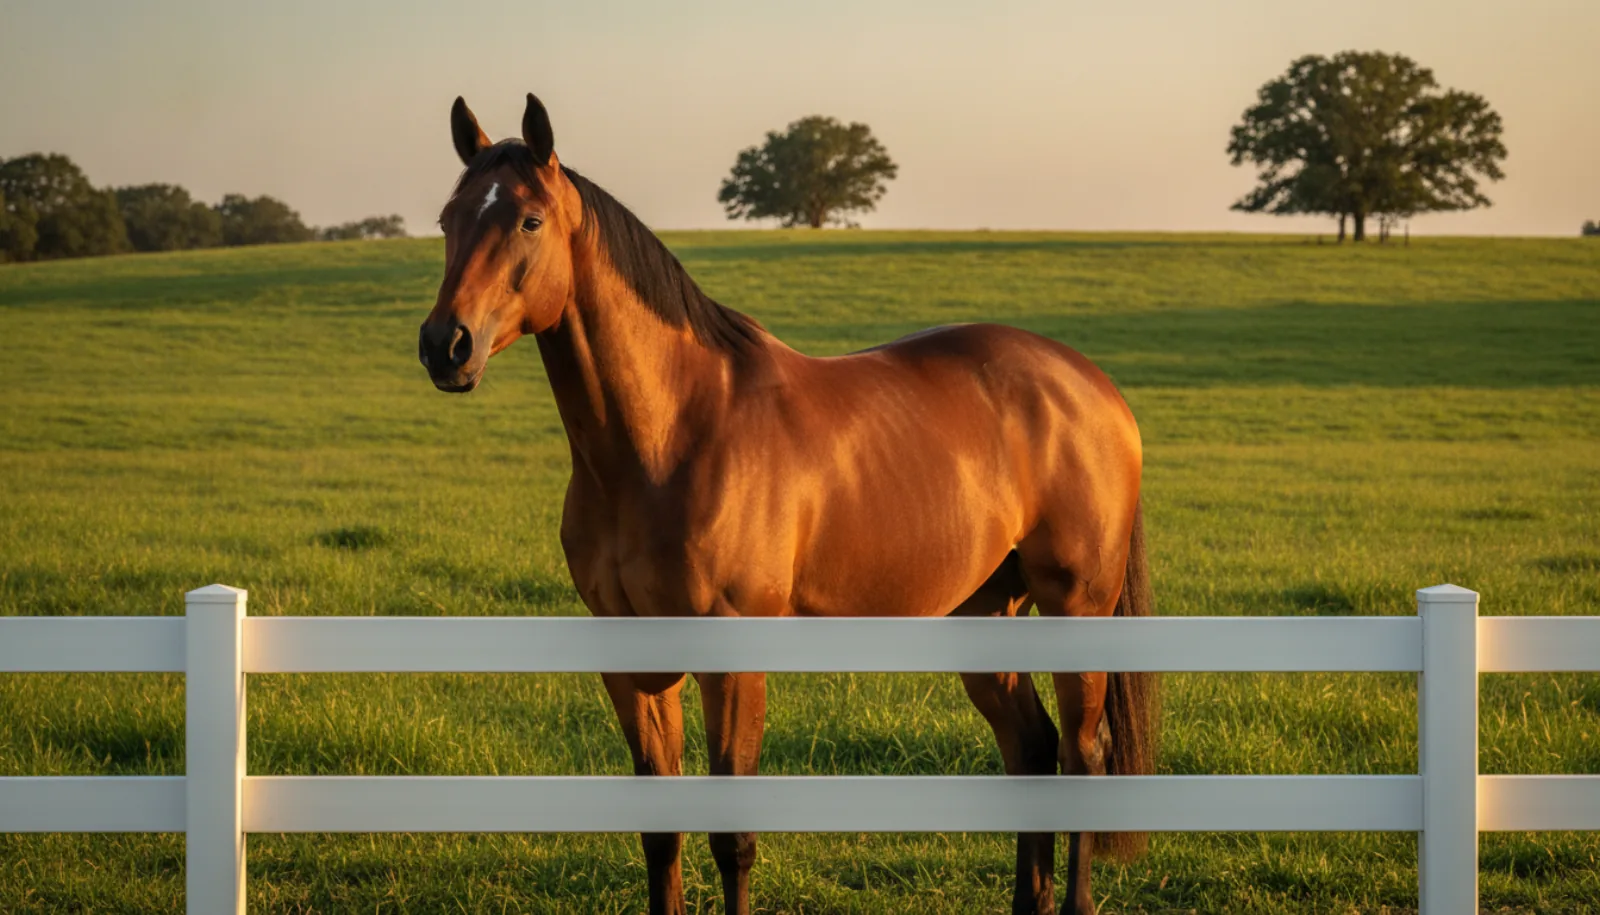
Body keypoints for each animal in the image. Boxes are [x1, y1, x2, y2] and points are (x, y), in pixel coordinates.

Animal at [419, 93, 1158, 915]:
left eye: (529, 220)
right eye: (448, 219)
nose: (446, 345)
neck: (671, 435)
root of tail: (1093, 386)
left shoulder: (734, 660)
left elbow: (732, 839)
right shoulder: (629, 659)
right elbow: (660, 833)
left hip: (1076, 607)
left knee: (1082, 754)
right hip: (986, 612)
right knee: (1030, 748)